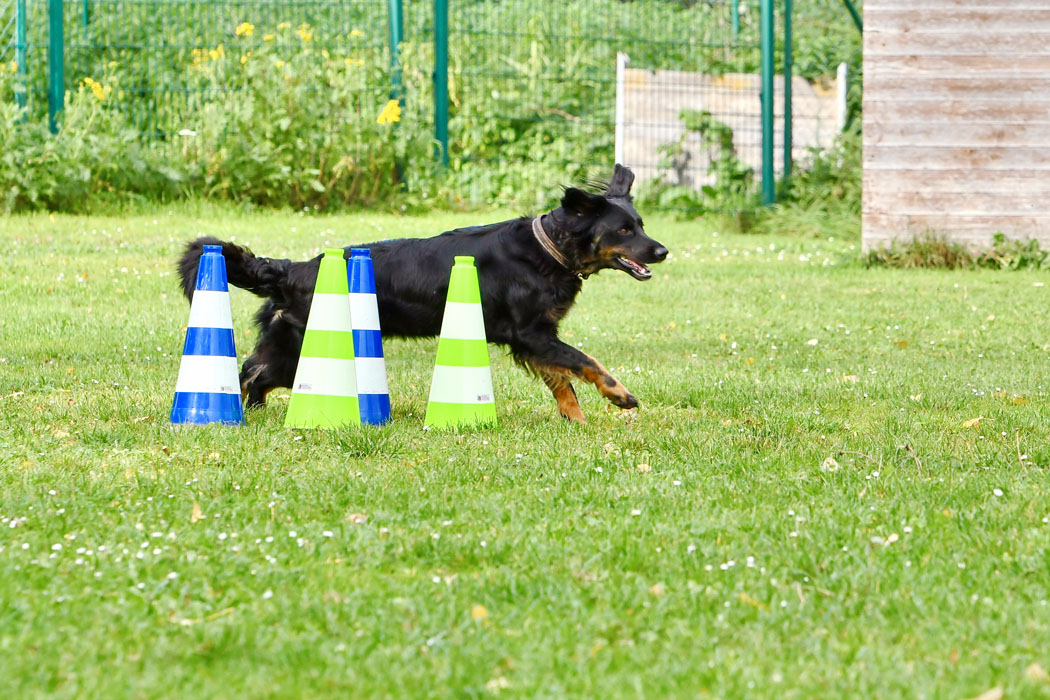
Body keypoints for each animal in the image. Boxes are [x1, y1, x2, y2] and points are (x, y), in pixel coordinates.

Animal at [172, 165, 663, 421]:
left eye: (640, 225)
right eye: (623, 230)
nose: (662, 250)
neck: (546, 249)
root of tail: (293, 269)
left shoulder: (534, 338)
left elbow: (563, 381)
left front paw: (576, 422)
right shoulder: (532, 334)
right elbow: (586, 362)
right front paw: (620, 395)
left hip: (285, 348)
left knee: (252, 373)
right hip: (301, 349)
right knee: (251, 374)